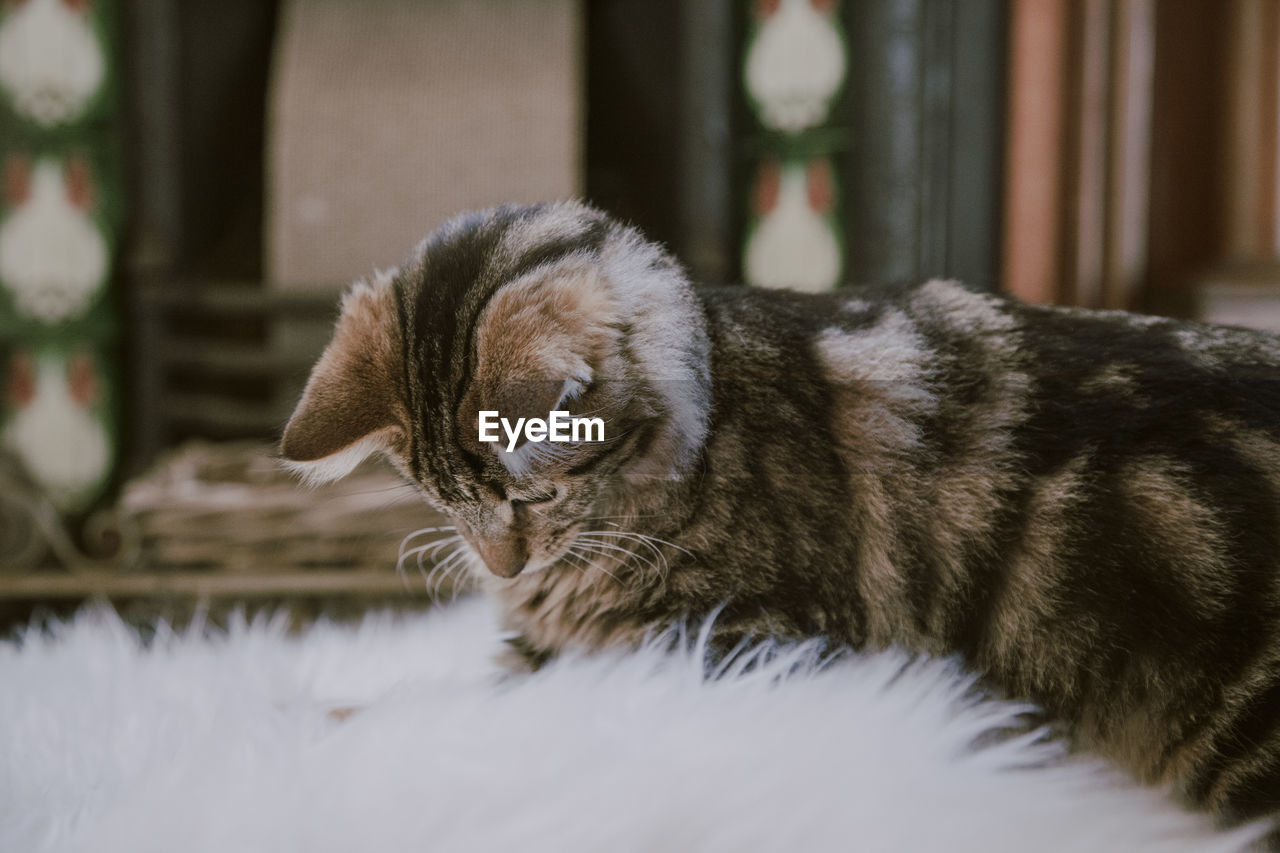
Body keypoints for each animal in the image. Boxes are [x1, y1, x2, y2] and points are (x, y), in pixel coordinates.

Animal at [288, 201, 1280, 829]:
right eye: (441, 503)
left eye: (532, 495)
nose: (503, 566)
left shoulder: (740, 640)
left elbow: (486, 699)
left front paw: (324, 715)